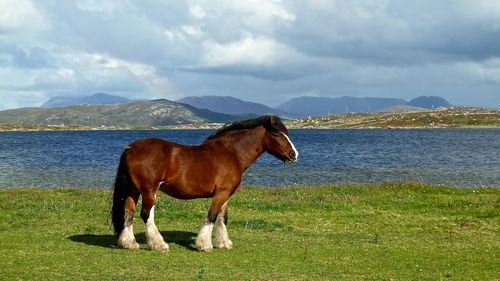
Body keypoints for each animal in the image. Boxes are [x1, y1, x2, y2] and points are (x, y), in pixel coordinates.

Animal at [112, 115, 298, 250]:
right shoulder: (221, 193)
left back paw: (129, 243)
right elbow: (212, 216)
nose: (294, 155)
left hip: (134, 190)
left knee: (128, 212)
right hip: (149, 191)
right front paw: (204, 244)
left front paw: (224, 243)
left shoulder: (226, 194)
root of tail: (131, 148)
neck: (231, 153)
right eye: (276, 134)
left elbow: (223, 218)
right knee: (146, 214)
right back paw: (159, 244)